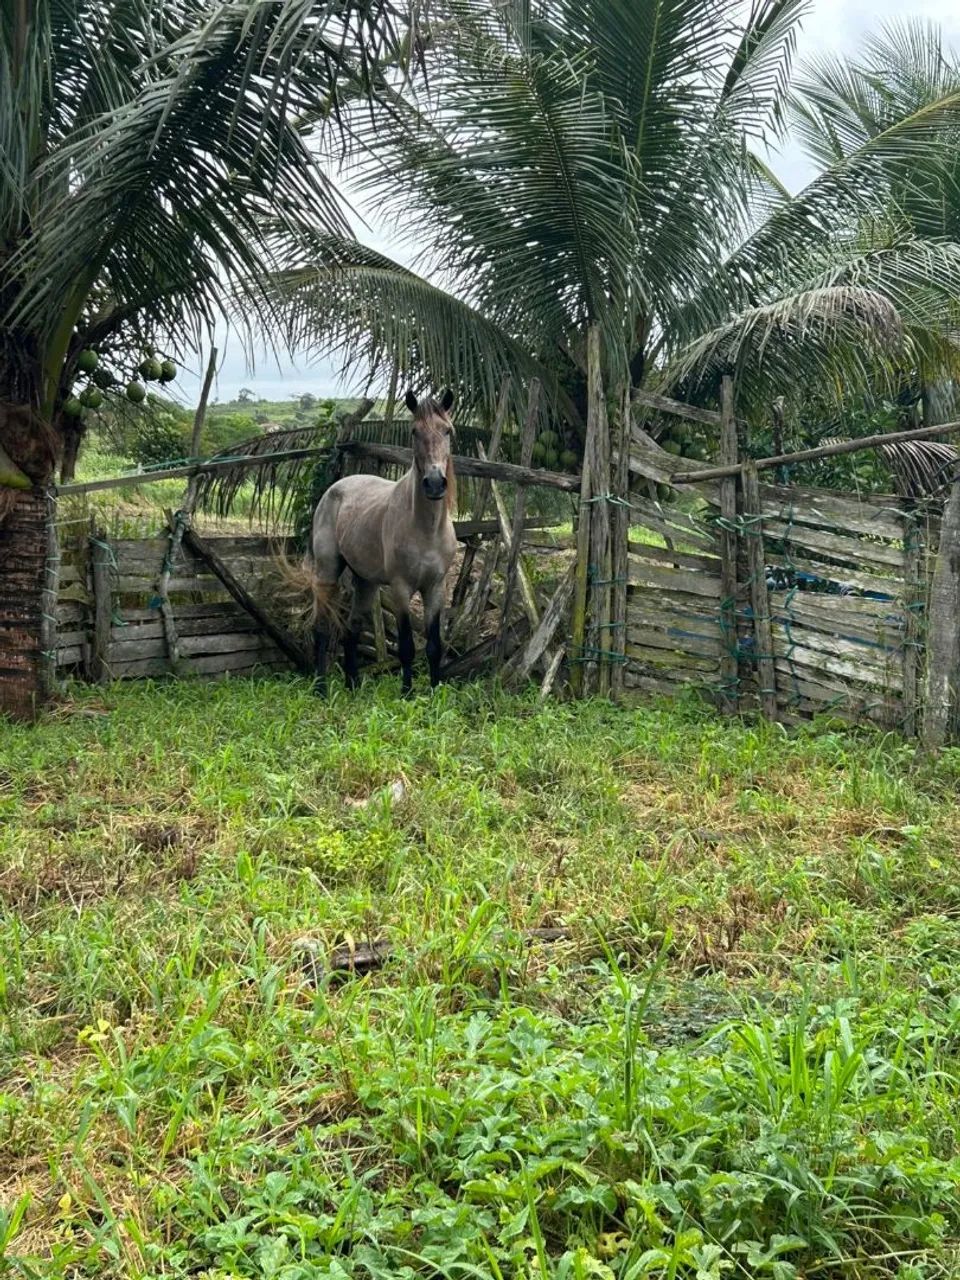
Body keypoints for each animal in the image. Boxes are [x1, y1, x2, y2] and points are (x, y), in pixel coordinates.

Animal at [305, 389, 459, 696]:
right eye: (414, 431)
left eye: (447, 430)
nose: (435, 483)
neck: (425, 529)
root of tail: (334, 489)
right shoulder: (400, 589)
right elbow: (407, 647)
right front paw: (407, 694)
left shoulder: (436, 588)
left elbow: (434, 647)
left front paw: (434, 692)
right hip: (328, 572)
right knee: (322, 627)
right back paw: (321, 688)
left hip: (365, 582)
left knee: (351, 629)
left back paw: (353, 686)